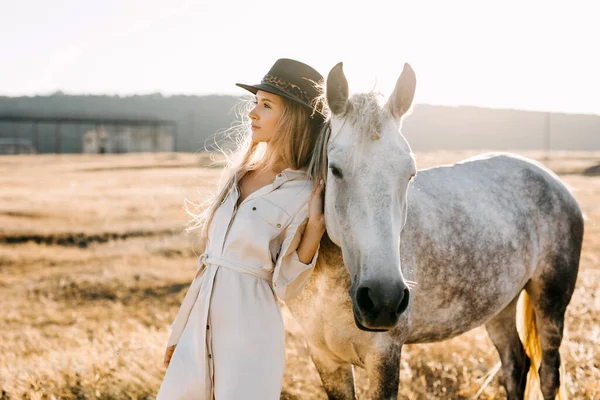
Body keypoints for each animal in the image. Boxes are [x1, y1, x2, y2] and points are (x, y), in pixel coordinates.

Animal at [288, 63, 584, 400]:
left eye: (409, 174)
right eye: (335, 169)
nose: (383, 299)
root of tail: (554, 180)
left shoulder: (385, 355)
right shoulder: (326, 359)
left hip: (551, 302)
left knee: (548, 373)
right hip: (500, 306)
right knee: (515, 365)